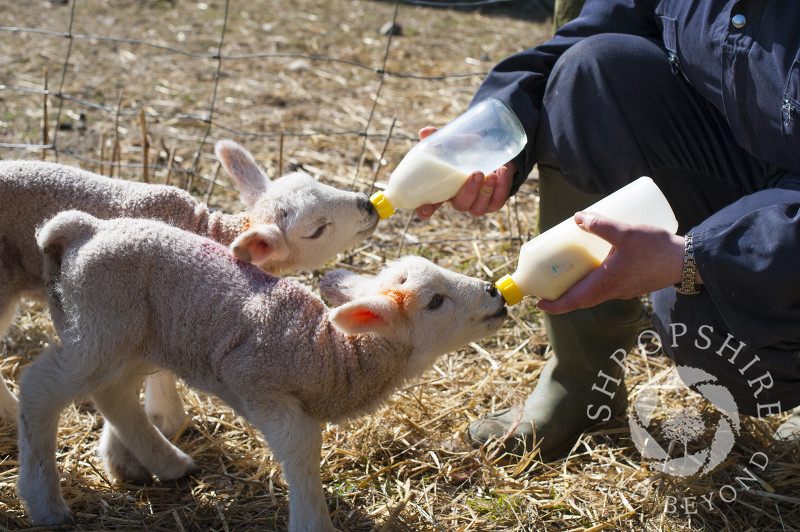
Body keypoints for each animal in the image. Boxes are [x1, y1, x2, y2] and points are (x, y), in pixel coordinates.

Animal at [0, 141, 378, 436]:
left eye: (319, 181)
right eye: (316, 230)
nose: (369, 204)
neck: (211, 232)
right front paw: (167, 418)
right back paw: (10, 414)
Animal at [20, 211, 506, 532]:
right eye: (435, 301)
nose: (494, 292)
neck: (326, 351)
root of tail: (88, 229)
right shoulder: (256, 381)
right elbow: (302, 446)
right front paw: (314, 523)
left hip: (130, 341)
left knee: (114, 395)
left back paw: (169, 464)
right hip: (100, 324)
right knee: (39, 388)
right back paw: (45, 504)